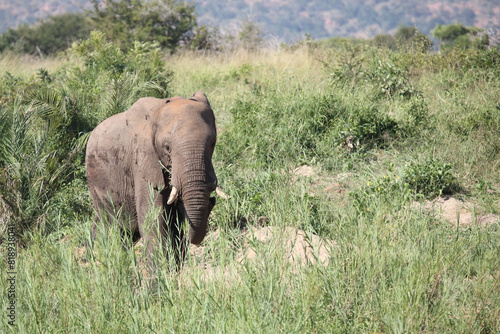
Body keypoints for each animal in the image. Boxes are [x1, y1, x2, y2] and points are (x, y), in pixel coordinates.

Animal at [86, 92, 227, 270]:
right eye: (167, 148)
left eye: (212, 143)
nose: (212, 199)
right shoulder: (142, 160)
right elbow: (153, 215)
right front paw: (159, 274)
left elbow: (173, 221)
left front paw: (174, 269)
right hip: (94, 183)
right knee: (109, 226)